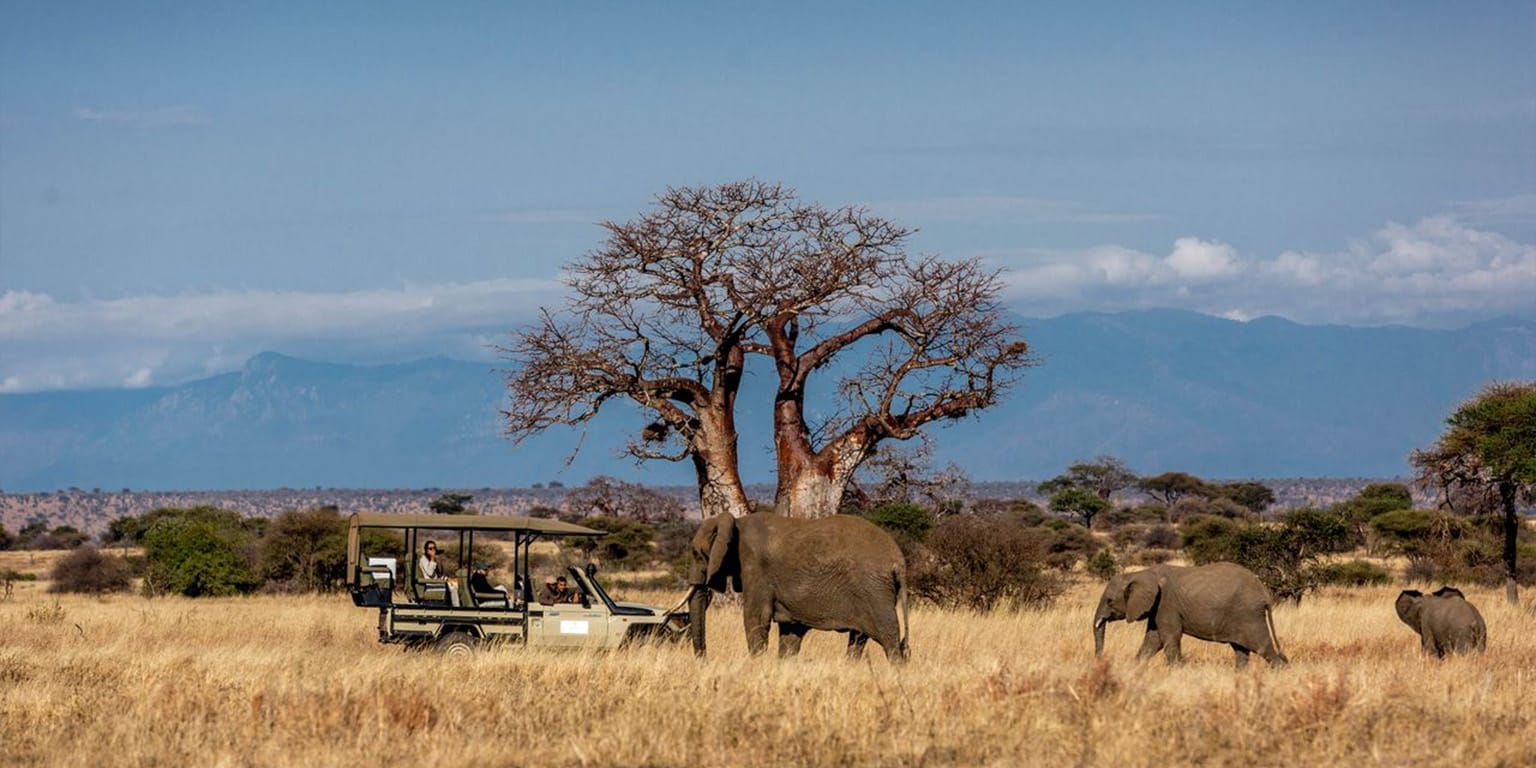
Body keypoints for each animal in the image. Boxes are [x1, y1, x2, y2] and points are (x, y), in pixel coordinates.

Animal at [685, 512, 910, 662]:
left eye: (695, 553)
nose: (703, 660)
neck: (736, 522)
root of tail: (898, 558)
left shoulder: (756, 568)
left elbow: (756, 618)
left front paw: (757, 664)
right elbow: (791, 630)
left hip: (874, 590)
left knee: (888, 636)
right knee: (859, 638)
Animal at [1093, 562, 1287, 668]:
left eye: (1109, 600)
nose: (1101, 660)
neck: (1141, 573)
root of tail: (1264, 592)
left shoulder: (1166, 604)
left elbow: (1169, 637)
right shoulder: (1157, 608)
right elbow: (1153, 640)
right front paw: (1136, 668)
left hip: (1249, 615)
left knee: (1264, 648)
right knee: (1241, 651)